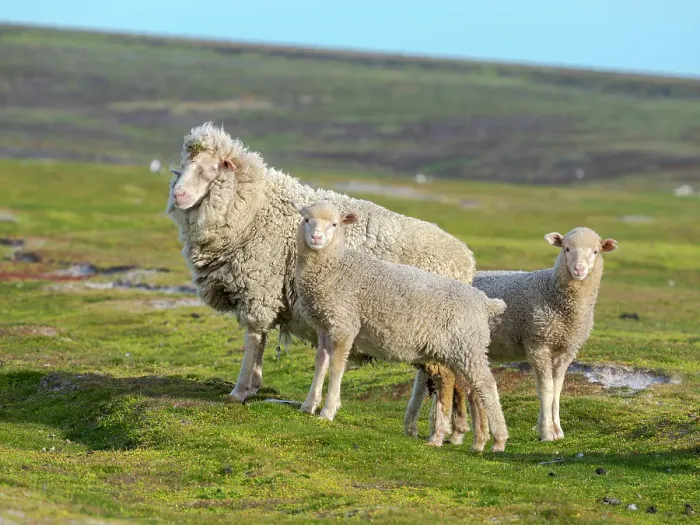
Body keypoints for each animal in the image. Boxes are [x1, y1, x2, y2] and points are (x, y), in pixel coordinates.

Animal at [166, 122, 474, 440]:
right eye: (184, 166)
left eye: (210, 169)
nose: (179, 195)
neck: (254, 207)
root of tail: (466, 260)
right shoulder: (265, 295)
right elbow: (261, 341)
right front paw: (253, 385)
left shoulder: (258, 290)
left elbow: (252, 341)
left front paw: (239, 391)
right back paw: (439, 430)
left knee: (444, 378)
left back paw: (441, 432)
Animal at [293, 200, 509, 452]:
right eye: (307, 219)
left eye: (335, 224)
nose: (316, 238)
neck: (335, 267)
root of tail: (483, 301)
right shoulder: (325, 326)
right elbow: (321, 363)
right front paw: (309, 404)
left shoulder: (345, 325)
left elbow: (337, 368)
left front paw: (328, 410)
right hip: (457, 351)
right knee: (471, 388)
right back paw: (478, 440)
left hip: (468, 347)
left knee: (486, 385)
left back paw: (498, 440)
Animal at [404, 227, 618, 442]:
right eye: (566, 249)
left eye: (595, 252)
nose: (579, 270)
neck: (552, 292)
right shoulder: (537, 344)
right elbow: (546, 389)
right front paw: (547, 431)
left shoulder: (566, 350)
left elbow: (557, 389)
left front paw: (557, 429)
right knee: (426, 380)